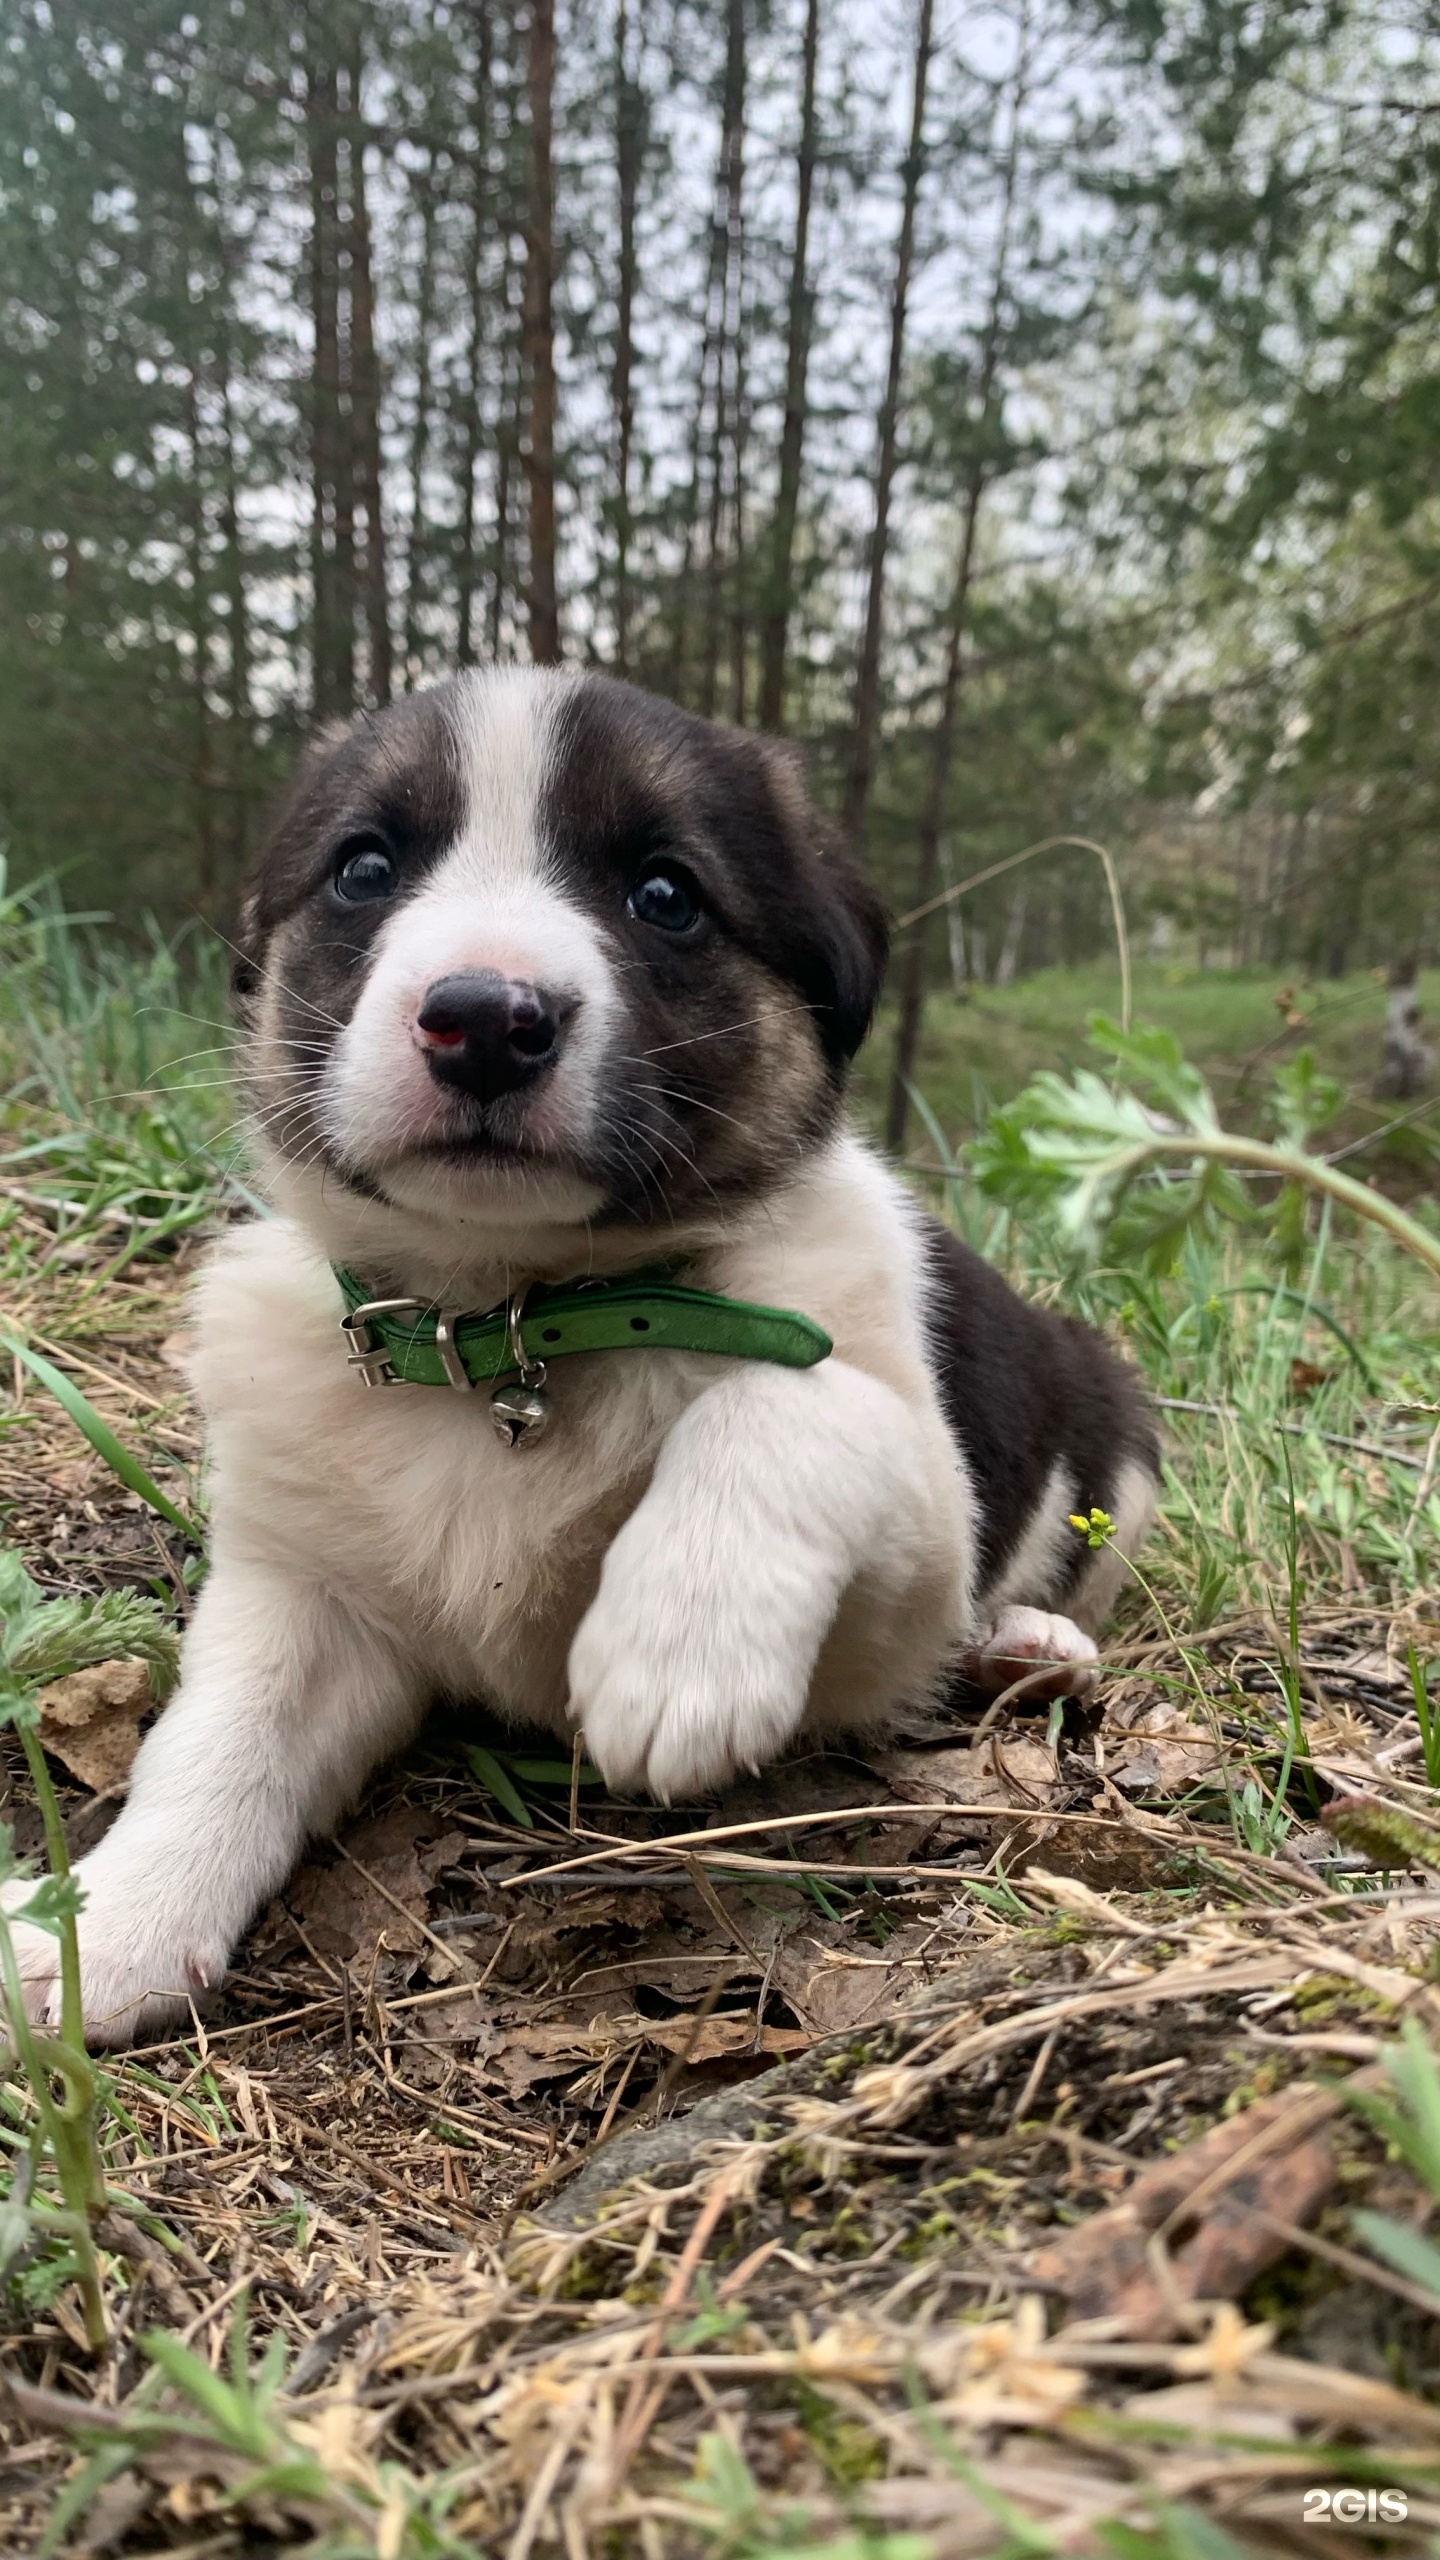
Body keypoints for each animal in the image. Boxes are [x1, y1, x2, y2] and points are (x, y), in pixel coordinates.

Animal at [2, 675, 1153, 2037]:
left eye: (665, 894)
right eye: (365, 868)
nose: (487, 1020)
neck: (511, 1324)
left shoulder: (913, 1551)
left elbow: (796, 1401)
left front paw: (679, 1646)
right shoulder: (307, 1583)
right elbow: (219, 1733)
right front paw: (101, 1925)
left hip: (1115, 1428)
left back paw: (1029, 1642)